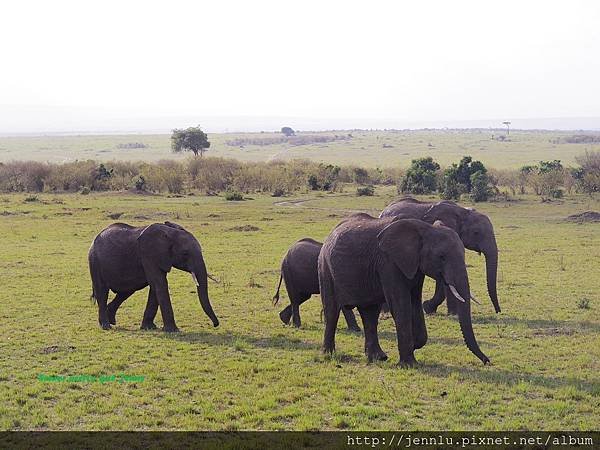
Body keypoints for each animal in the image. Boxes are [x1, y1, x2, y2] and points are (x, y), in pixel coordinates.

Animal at [88, 221, 219, 330]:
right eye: (185, 253)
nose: (215, 325)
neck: (170, 234)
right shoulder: (149, 255)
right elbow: (159, 283)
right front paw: (172, 331)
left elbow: (156, 285)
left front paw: (149, 328)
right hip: (94, 261)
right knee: (102, 292)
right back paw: (106, 326)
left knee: (126, 291)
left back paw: (111, 321)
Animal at [318, 214, 488, 366]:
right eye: (441, 257)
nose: (487, 361)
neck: (425, 229)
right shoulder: (388, 262)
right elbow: (401, 305)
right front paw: (409, 364)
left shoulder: (415, 265)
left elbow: (415, 302)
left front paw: (415, 344)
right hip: (325, 268)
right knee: (332, 311)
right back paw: (328, 355)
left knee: (370, 314)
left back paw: (378, 358)